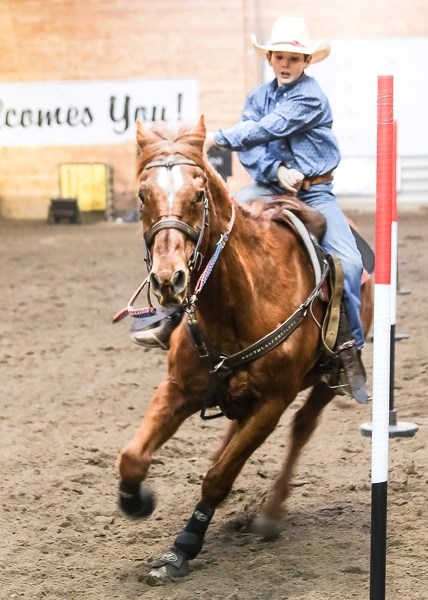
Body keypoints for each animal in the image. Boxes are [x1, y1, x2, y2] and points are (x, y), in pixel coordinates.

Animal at [115, 116, 372, 580]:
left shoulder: (272, 402)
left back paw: (270, 514)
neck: (238, 300)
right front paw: (137, 500)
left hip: (323, 384)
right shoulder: (178, 387)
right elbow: (133, 457)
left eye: (199, 195)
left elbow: (219, 477)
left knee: (302, 427)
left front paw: (182, 548)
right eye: (143, 195)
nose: (168, 280)